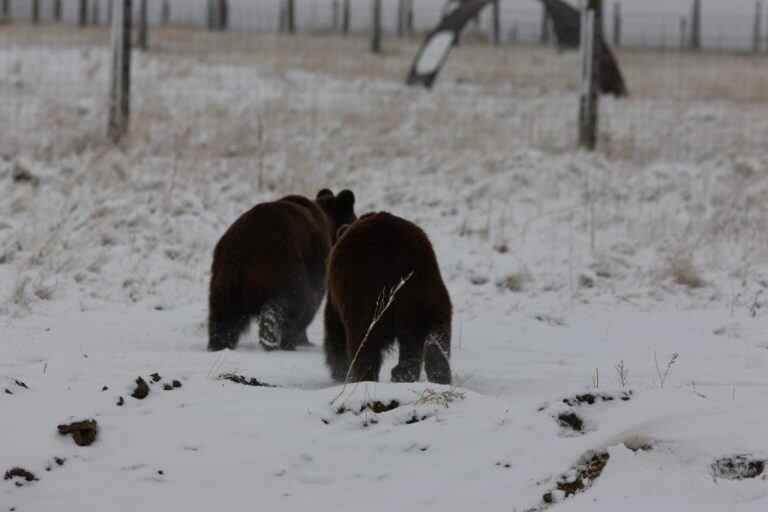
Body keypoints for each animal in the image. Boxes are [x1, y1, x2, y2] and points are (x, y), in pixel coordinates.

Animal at [207, 189, 356, 352]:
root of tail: (242, 250)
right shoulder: (315, 263)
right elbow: (311, 303)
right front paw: (302, 339)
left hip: (225, 276)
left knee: (224, 316)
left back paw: (220, 343)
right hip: (281, 264)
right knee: (289, 303)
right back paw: (275, 340)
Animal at [322, 212, 450, 384]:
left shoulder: (335, 296)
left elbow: (334, 328)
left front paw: (340, 370)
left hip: (364, 294)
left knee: (364, 342)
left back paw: (365, 377)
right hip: (426, 289)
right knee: (433, 334)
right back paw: (428, 372)